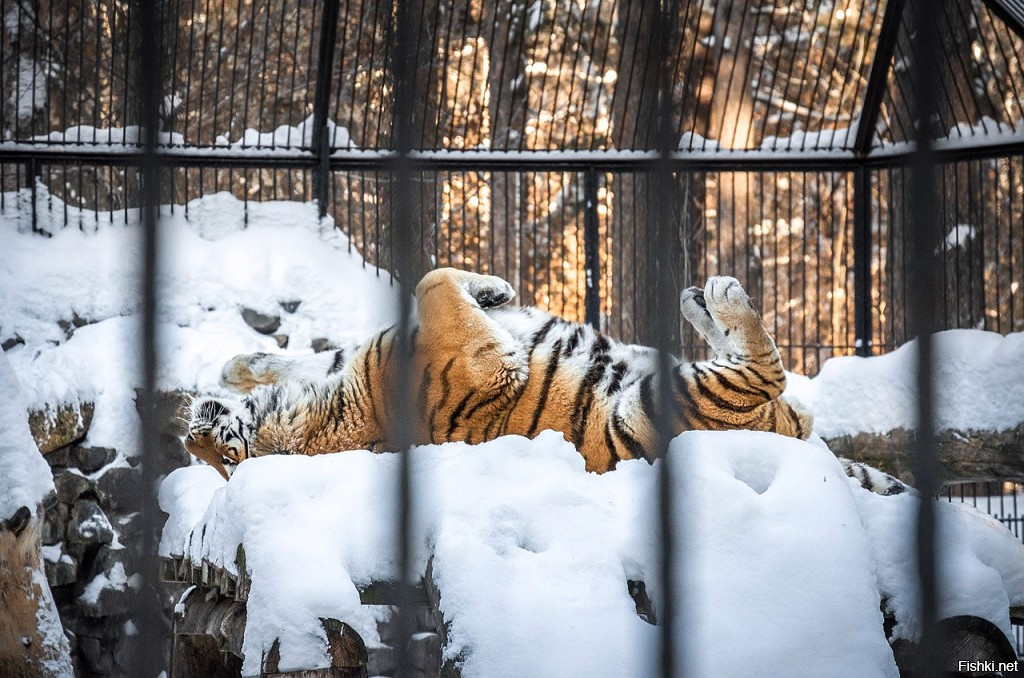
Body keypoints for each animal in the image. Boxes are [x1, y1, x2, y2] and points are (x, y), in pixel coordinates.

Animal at [186, 268, 905, 497]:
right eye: (226, 459)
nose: (194, 430)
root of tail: (792, 436)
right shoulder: (478, 361)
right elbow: (430, 282)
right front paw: (493, 291)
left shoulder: (342, 361)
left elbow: (294, 356)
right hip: (666, 403)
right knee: (761, 369)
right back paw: (720, 297)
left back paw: (701, 301)